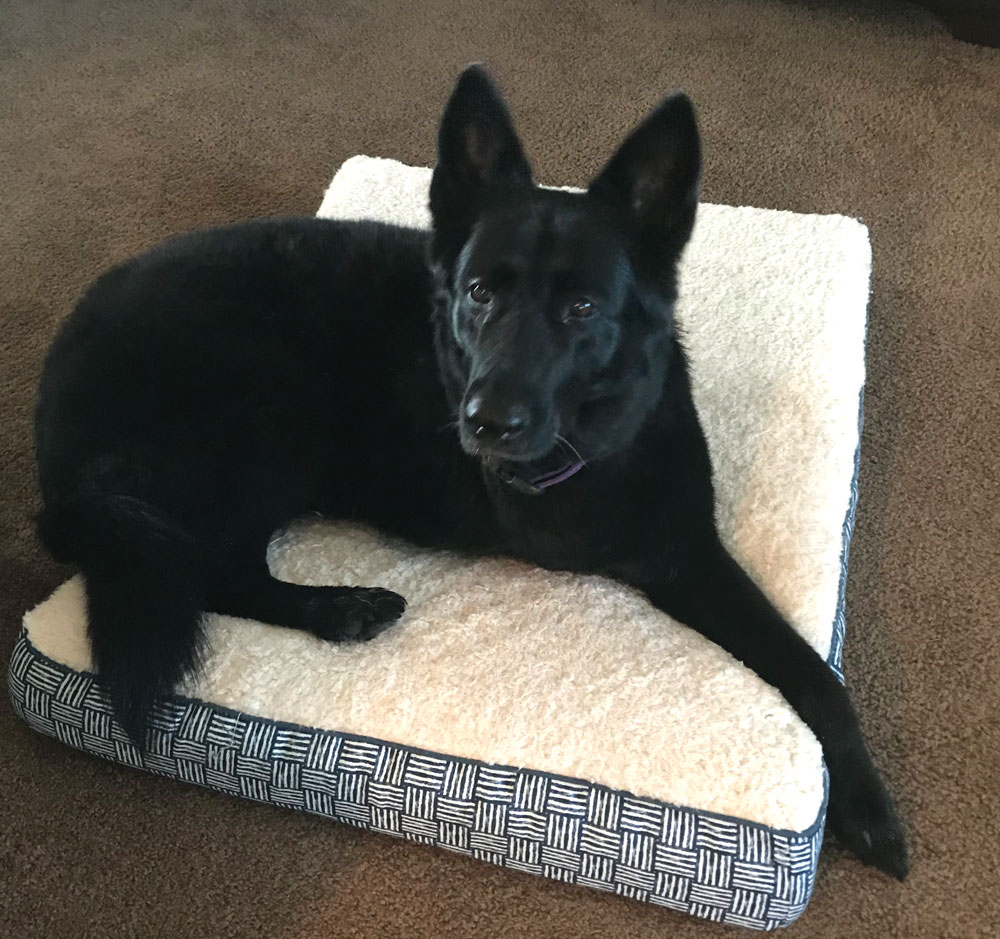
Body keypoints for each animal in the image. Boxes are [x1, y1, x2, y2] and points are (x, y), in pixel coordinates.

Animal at [33, 66, 908, 880]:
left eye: (582, 308)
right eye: (481, 292)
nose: (484, 423)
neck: (594, 432)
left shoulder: (686, 553)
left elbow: (817, 676)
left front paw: (867, 804)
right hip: (274, 414)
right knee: (210, 568)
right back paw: (341, 609)